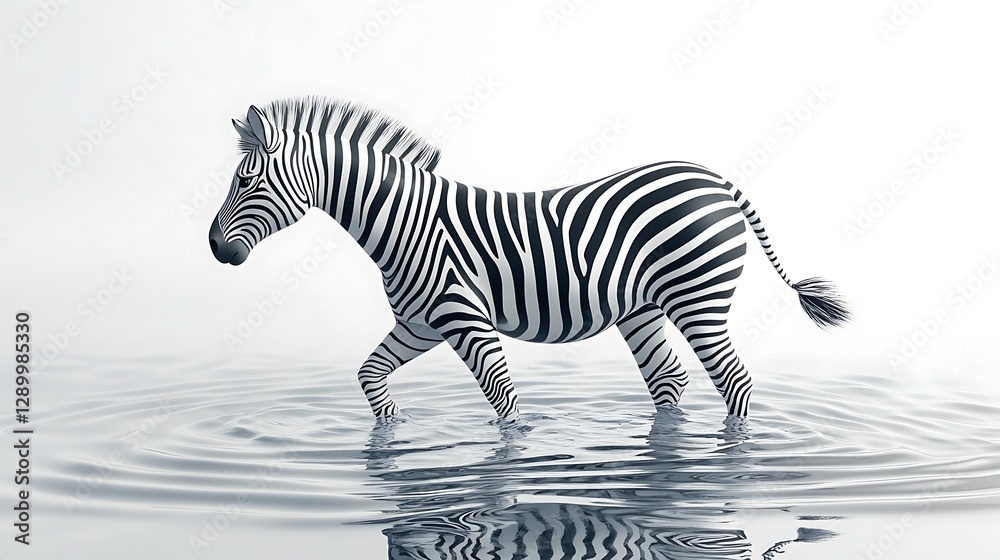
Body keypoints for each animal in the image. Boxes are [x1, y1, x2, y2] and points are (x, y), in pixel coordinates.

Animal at [209, 97, 849, 420]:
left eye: (249, 181)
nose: (215, 248)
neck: (399, 220)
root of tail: (716, 179)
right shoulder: (421, 323)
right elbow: (371, 377)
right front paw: (391, 439)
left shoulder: (464, 319)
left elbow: (505, 401)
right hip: (641, 310)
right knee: (669, 379)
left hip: (700, 300)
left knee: (735, 384)